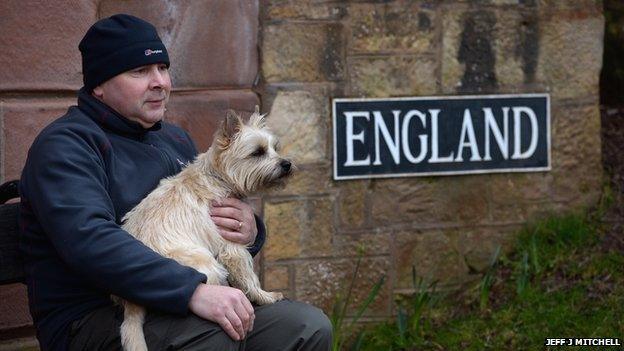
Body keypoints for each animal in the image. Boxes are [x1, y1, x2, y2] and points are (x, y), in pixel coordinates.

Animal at [117, 106, 292, 351]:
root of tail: (131, 302)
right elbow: (249, 277)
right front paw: (264, 296)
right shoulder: (232, 247)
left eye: (275, 148)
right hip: (208, 265)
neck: (219, 177)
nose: (287, 164)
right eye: (257, 152)